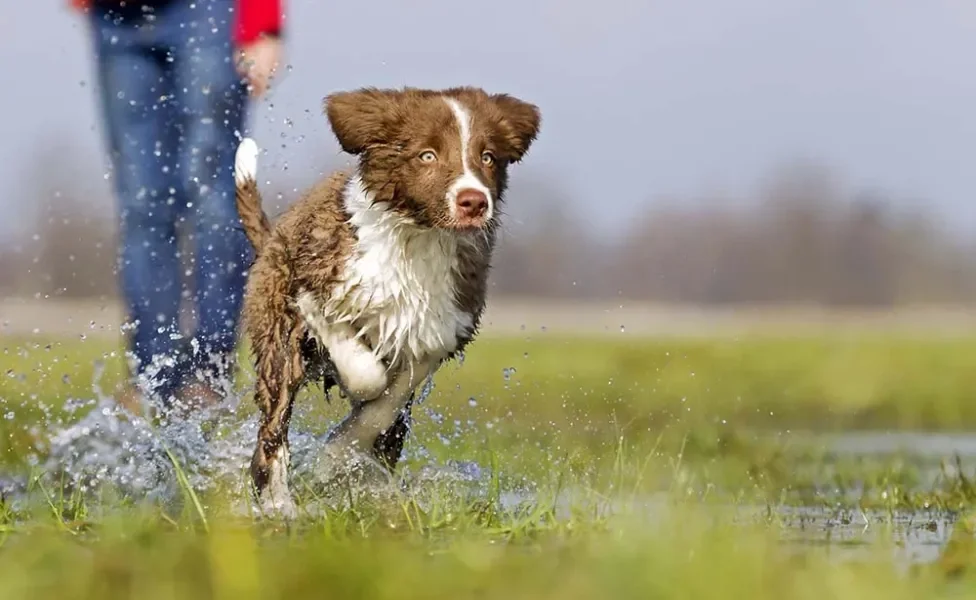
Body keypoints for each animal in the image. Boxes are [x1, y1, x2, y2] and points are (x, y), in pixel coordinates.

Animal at [234, 84, 544, 516]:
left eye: (488, 157)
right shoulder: (316, 287)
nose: (474, 201)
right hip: (278, 341)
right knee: (273, 429)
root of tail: (272, 237)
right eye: (427, 155)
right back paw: (280, 506)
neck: (416, 241)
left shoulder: (439, 329)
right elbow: (365, 374)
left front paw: (337, 458)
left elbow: (385, 404)